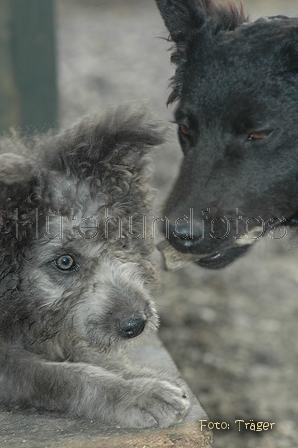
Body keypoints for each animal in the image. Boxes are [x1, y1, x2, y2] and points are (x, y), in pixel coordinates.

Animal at [0, 106, 190, 428]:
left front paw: (138, 375)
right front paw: (137, 394)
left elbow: (86, 351)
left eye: (122, 240)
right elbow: (60, 375)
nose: (135, 325)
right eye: (65, 262)